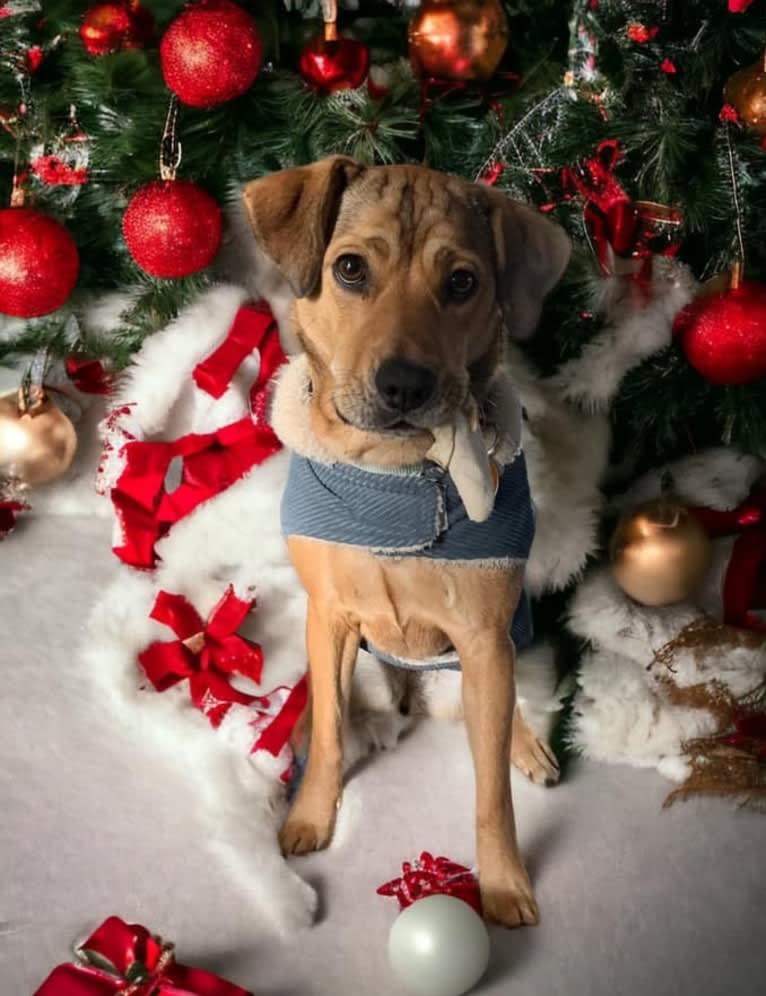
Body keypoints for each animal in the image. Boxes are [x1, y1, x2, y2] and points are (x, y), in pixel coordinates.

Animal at [244, 156, 568, 924]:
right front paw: (310, 816)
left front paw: (504, 882)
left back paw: (526, 744)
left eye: (463, 282)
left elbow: (490, 792)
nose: (402, 385)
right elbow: (331, 736)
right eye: (350, 268)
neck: (392, 481)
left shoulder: (484, 638)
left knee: (506, 707)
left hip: (506, 642)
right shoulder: (329, 617)